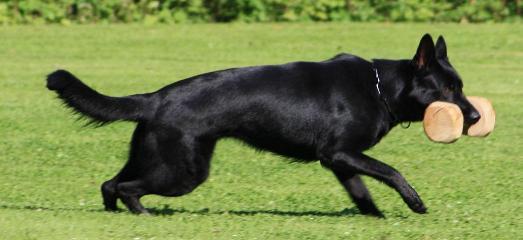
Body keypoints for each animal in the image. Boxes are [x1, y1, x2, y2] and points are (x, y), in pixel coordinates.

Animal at [47, 33, 482, 216]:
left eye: (460, 87)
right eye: (449, 89)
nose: (476, 117)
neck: (380, 88)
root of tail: (155, 98)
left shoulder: (341, 162)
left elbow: (362, 194)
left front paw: (375, 220)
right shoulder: (340, 154)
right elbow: (391, 171)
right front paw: (415, 202)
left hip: (153, 159)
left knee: (110, 184)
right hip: (183, 173)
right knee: (125, 188)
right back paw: (144, 217)